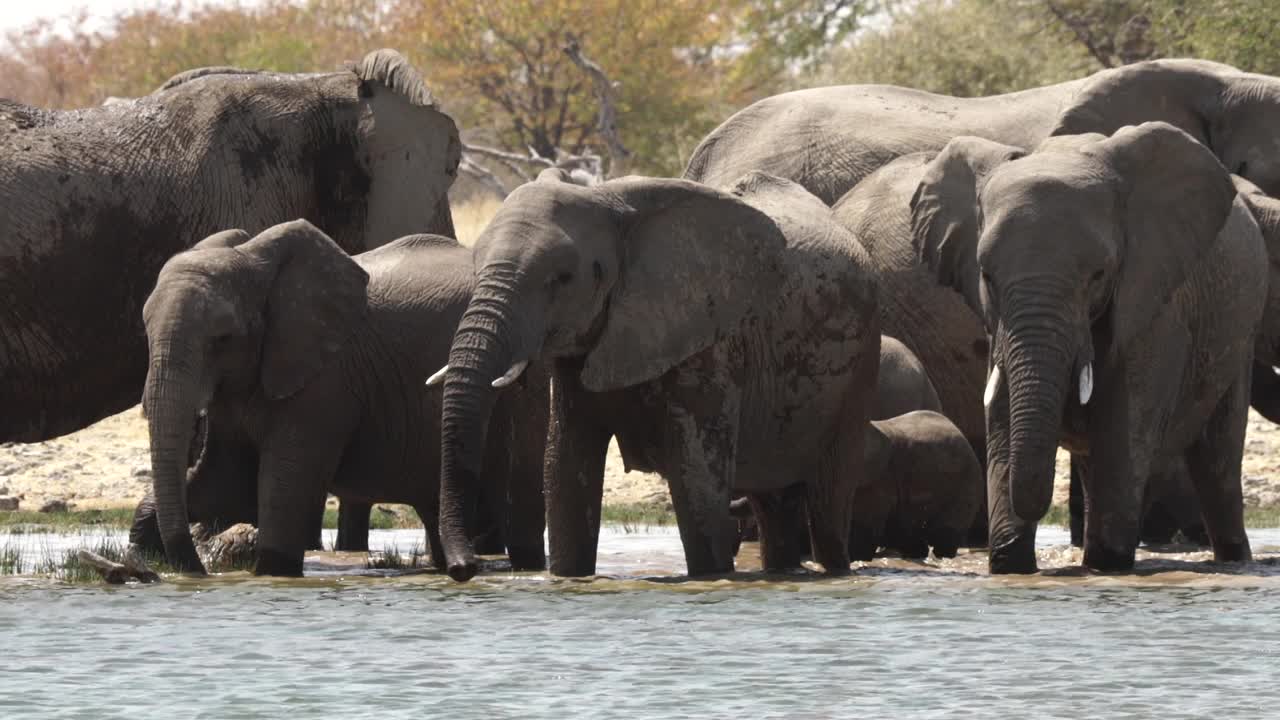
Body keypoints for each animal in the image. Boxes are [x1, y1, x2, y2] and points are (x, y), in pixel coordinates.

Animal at [430, 166, 880, 576]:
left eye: (561, 278)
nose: (464, 568)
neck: (607, 200)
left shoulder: (709, 340)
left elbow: (697, 482)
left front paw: (712, 578)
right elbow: (565, 472)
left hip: (859, 367)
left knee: (829, 502)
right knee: (774, 505)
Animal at [916, 122, 1264, 571]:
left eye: (1098, 274)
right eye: (986, 275)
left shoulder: (1155, 304)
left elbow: (1122, 429)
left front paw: (1106, 565)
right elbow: (1003, 420)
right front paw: (1011, 566)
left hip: (1240, 332)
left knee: (1216, 460)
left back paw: (1234, 561)